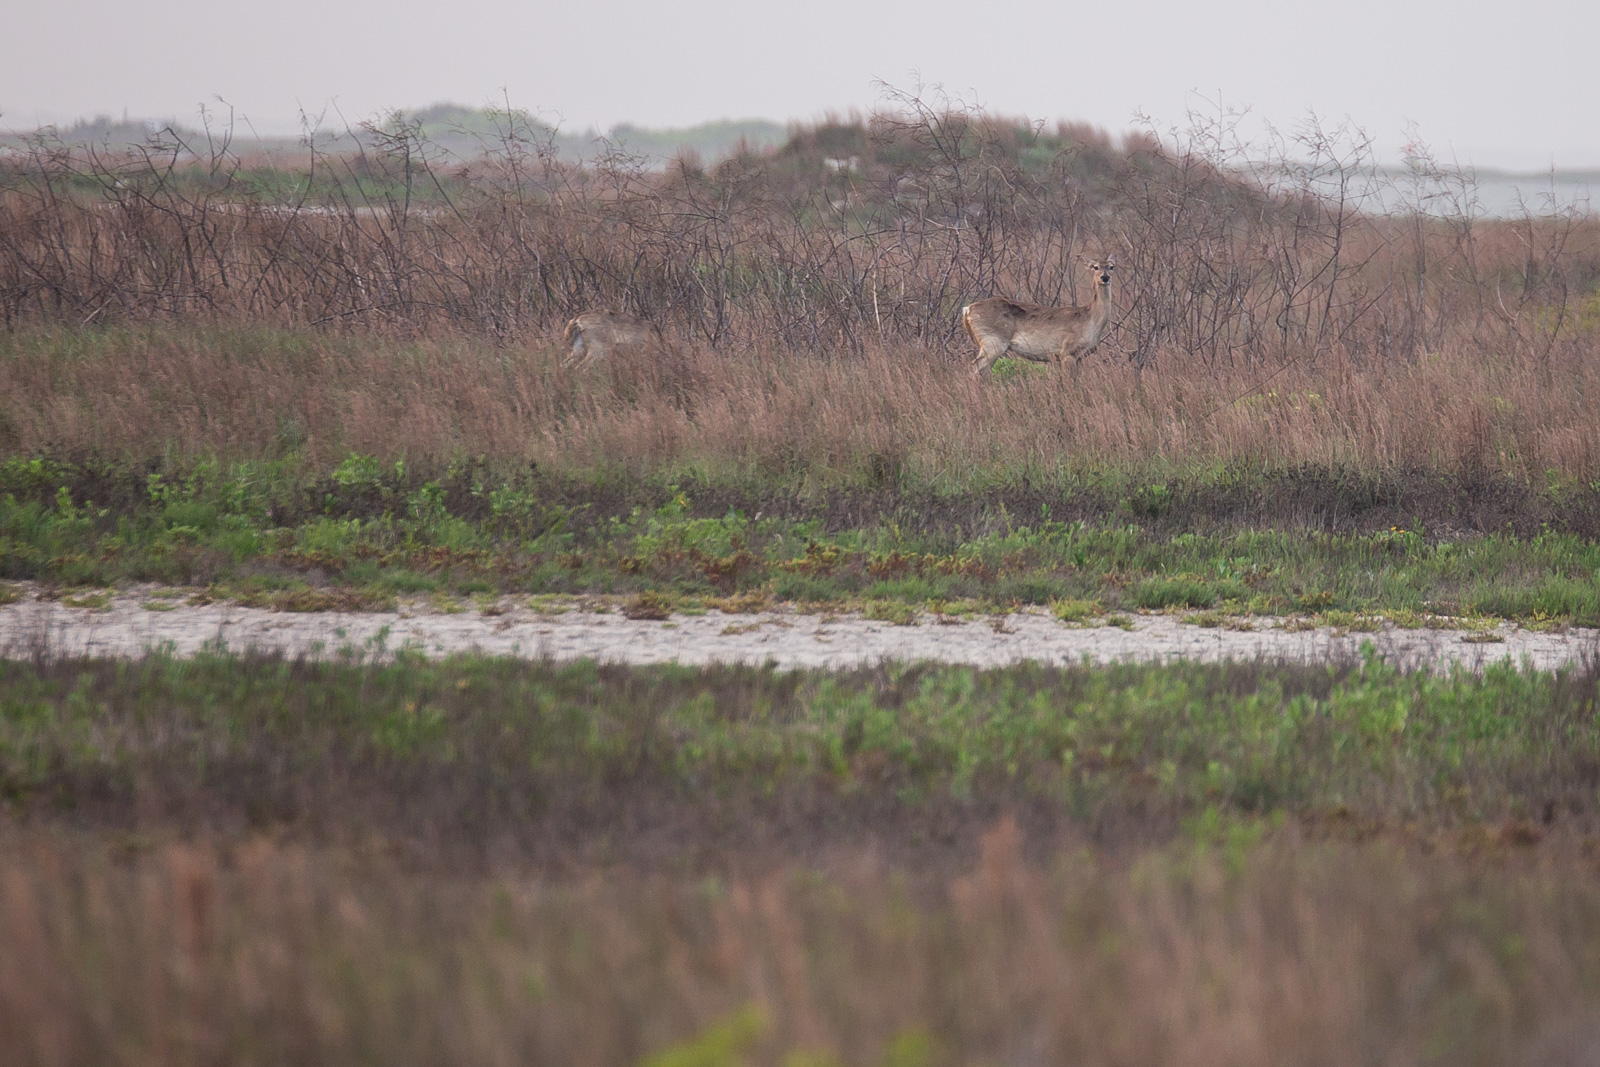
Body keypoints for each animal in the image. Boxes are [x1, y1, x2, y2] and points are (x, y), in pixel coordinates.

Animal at [960, 255, 1113, 377]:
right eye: (1095, 267)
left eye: (1111, 266)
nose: (1105, 277)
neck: (1090, 319)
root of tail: (968, 309)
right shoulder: (1067, 352)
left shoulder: (1079, 357)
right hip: (993, 340)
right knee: (973, 368)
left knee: (983, 371)